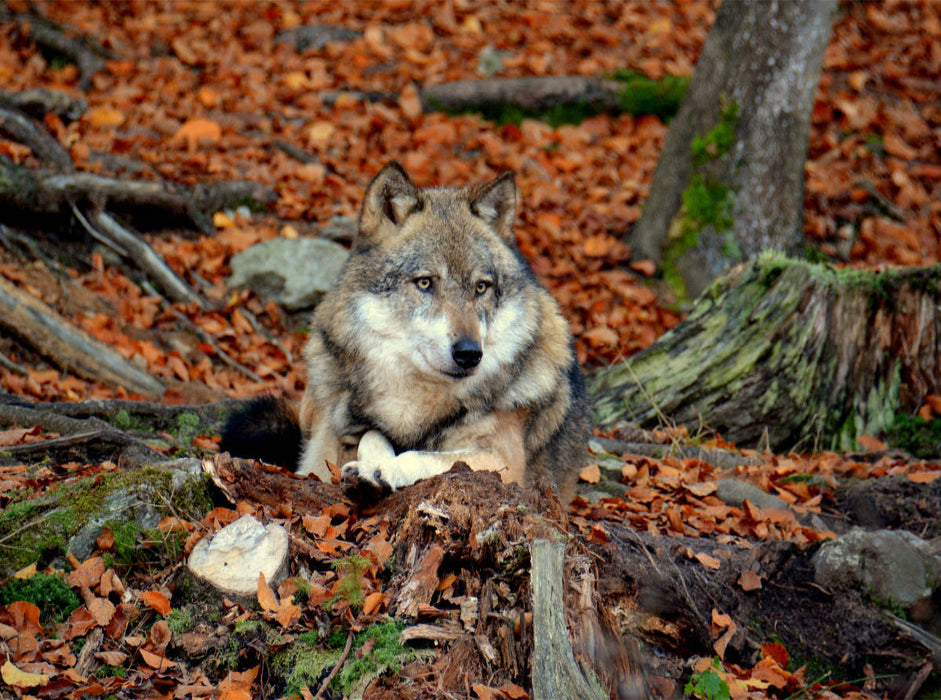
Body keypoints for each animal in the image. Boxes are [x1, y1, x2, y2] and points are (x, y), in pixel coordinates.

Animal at [221, 161, 589, 495]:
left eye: (481, 287)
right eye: (425, 282)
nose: (470, 354)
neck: (417, 403)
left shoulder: (504, 461)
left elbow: (426, 456)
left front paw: (384, 469)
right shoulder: (348, 434)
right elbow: (373, 434)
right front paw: (374, 463)